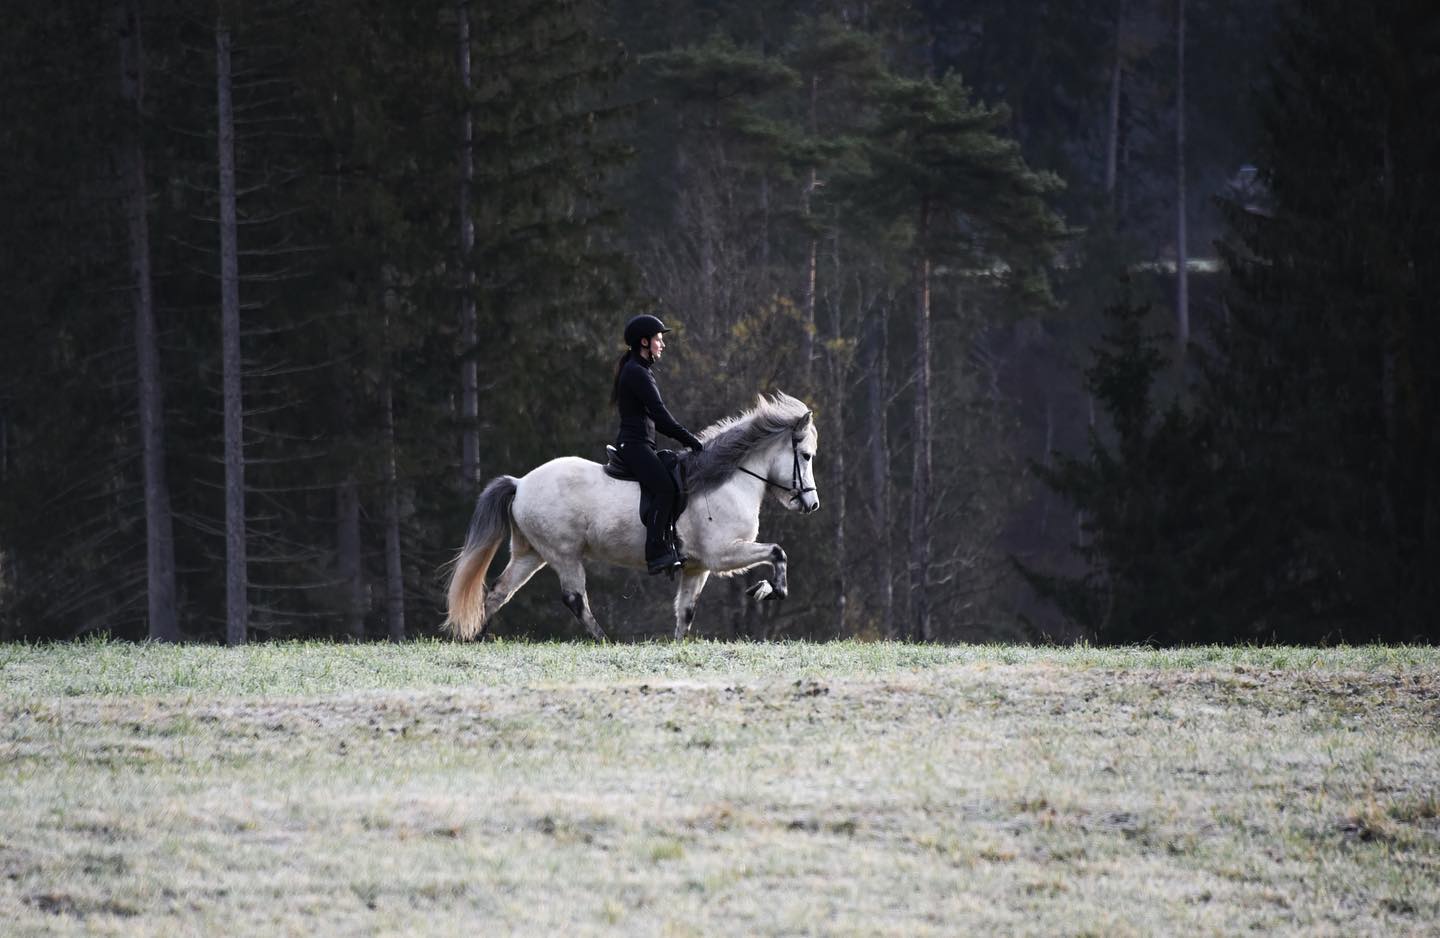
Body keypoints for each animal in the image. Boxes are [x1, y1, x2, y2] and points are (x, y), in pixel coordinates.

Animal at [443, 392, 820, 641]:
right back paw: (604, 641)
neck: (726, 480)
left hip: (531, 554)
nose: (812, 505)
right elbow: (777, 552)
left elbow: (685, 612)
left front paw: (678, 646)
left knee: (499, 592)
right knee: (574, 598)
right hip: (563, 554)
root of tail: (521, 484)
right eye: (805, 455)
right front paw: (767, 590)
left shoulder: (698, 567)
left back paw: (473, 637)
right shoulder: (724, 553)